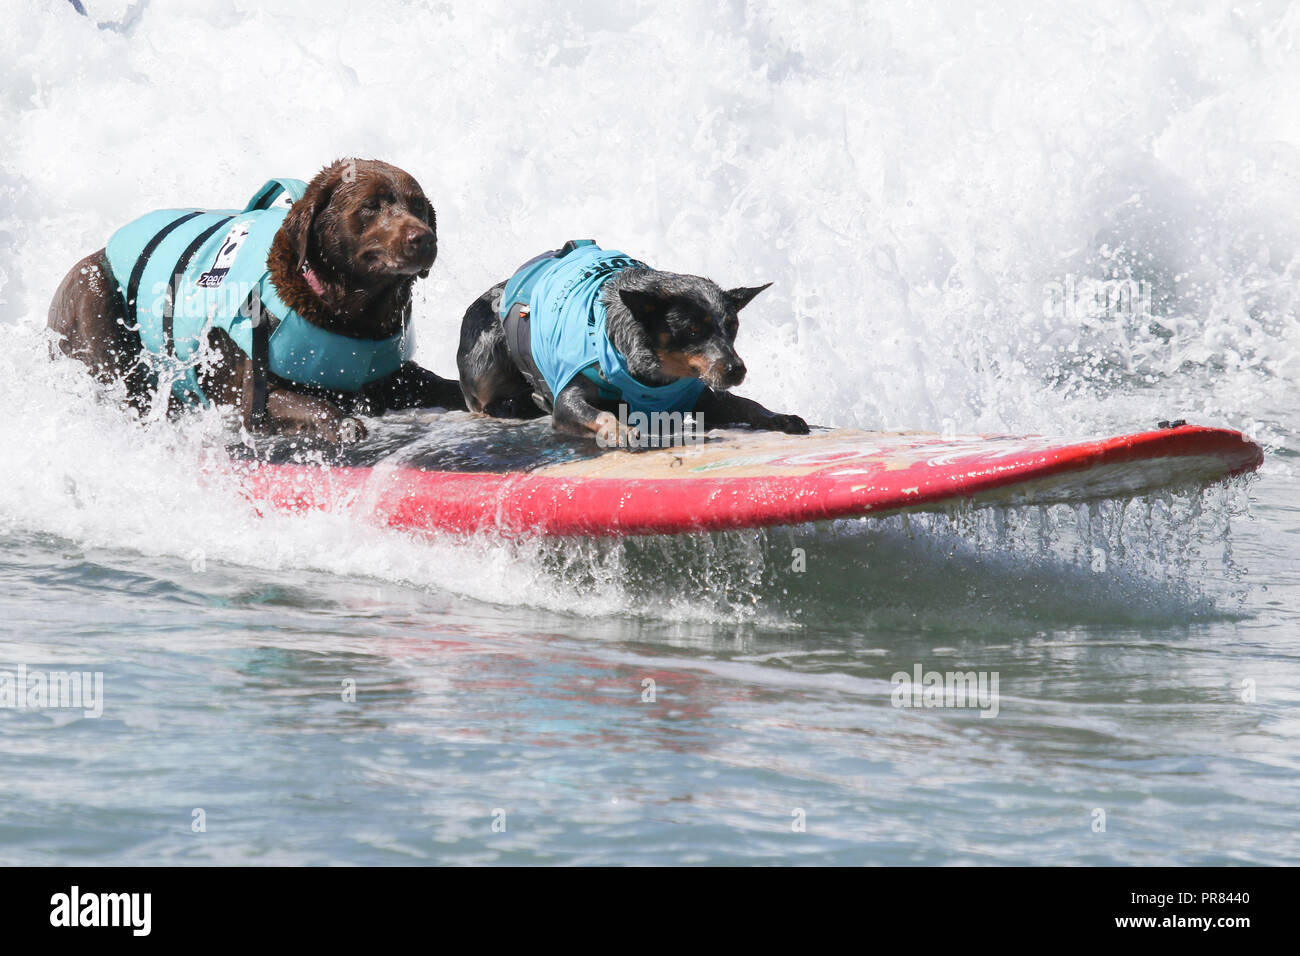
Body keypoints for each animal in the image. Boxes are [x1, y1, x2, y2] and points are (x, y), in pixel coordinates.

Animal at [50, 158, 467, 442]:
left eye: (418, 206)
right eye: (370, 206)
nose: (424, 239)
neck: (346, 316)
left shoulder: (391, 375)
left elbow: (438, 383)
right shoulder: (253, 397)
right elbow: (309, 404)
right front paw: (344, 424)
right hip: (92, 296)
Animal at [454, 243, 800, 444]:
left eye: (733, 327)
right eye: (691, 330)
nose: (735, 369)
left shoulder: (697, 394)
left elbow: (745, 405)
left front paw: (778, 416)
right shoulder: (566, 402)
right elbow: (598, 414)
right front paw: (618, 429)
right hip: (485, 354)